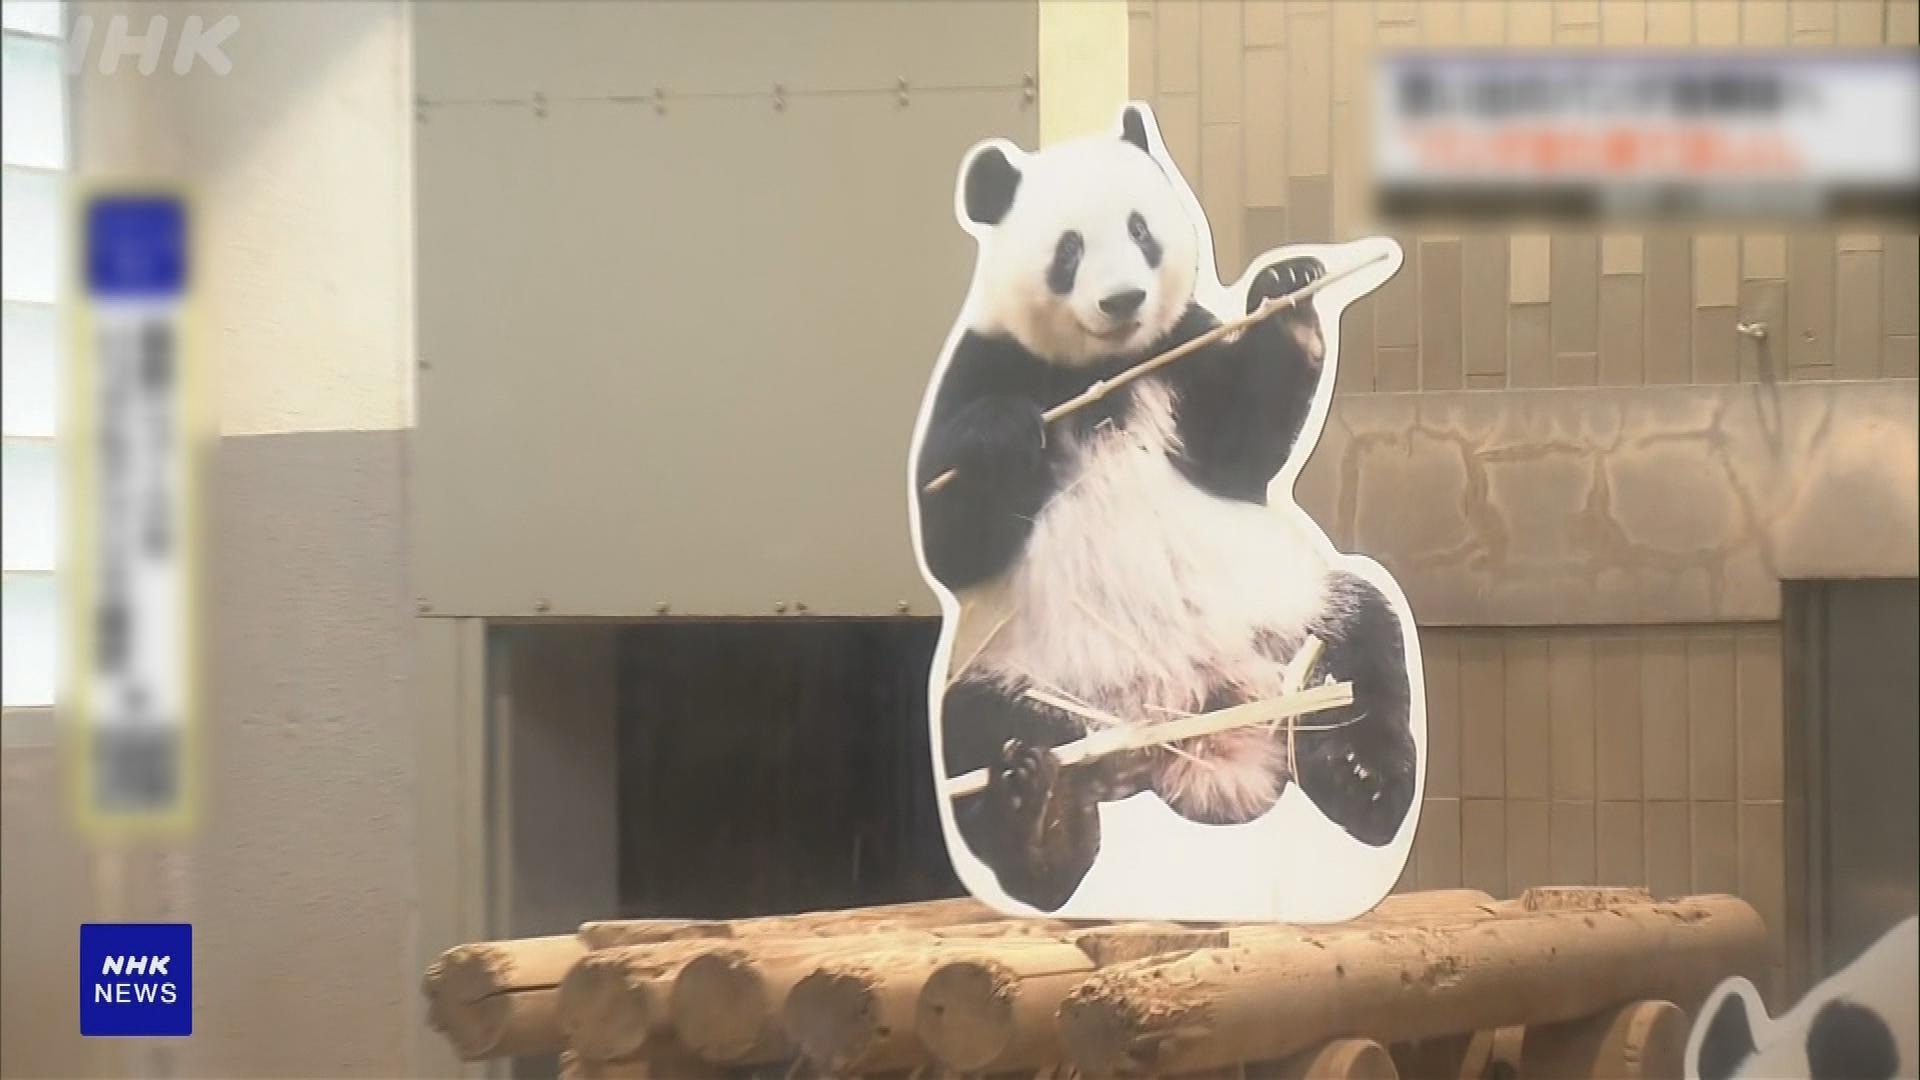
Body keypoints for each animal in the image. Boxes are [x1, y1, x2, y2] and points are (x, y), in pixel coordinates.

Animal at [908, 103, 1421, 915]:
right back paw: (1040, 822)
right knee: (973, 731)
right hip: (1026, 671)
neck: (1106, 368)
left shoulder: (1186, 342)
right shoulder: (984, 361)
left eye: (1141, 230)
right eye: (1069, 249)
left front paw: (1288, 294)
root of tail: (1195, 738)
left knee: (1369, 643)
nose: (1123, 300)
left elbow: (1242, 448)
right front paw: (1000, 438)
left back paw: (1363, 777)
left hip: (1291, 615)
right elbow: (949, 536)